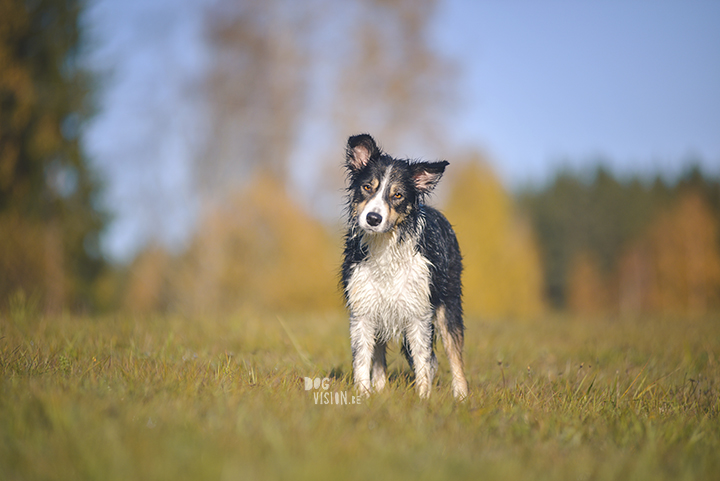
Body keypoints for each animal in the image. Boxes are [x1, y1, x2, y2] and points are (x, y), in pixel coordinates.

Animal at [342, 134, 470, 398]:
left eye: (398, 195)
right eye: (367, 187)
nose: (373, 218)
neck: (384, 246)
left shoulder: (418, 312)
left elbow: (423, 360)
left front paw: (423, 398)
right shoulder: (363, 311)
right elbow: (362, 359)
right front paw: (365, 395)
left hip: (448, 304)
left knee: (454, 354)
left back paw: (462, 396)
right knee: (379, 357)